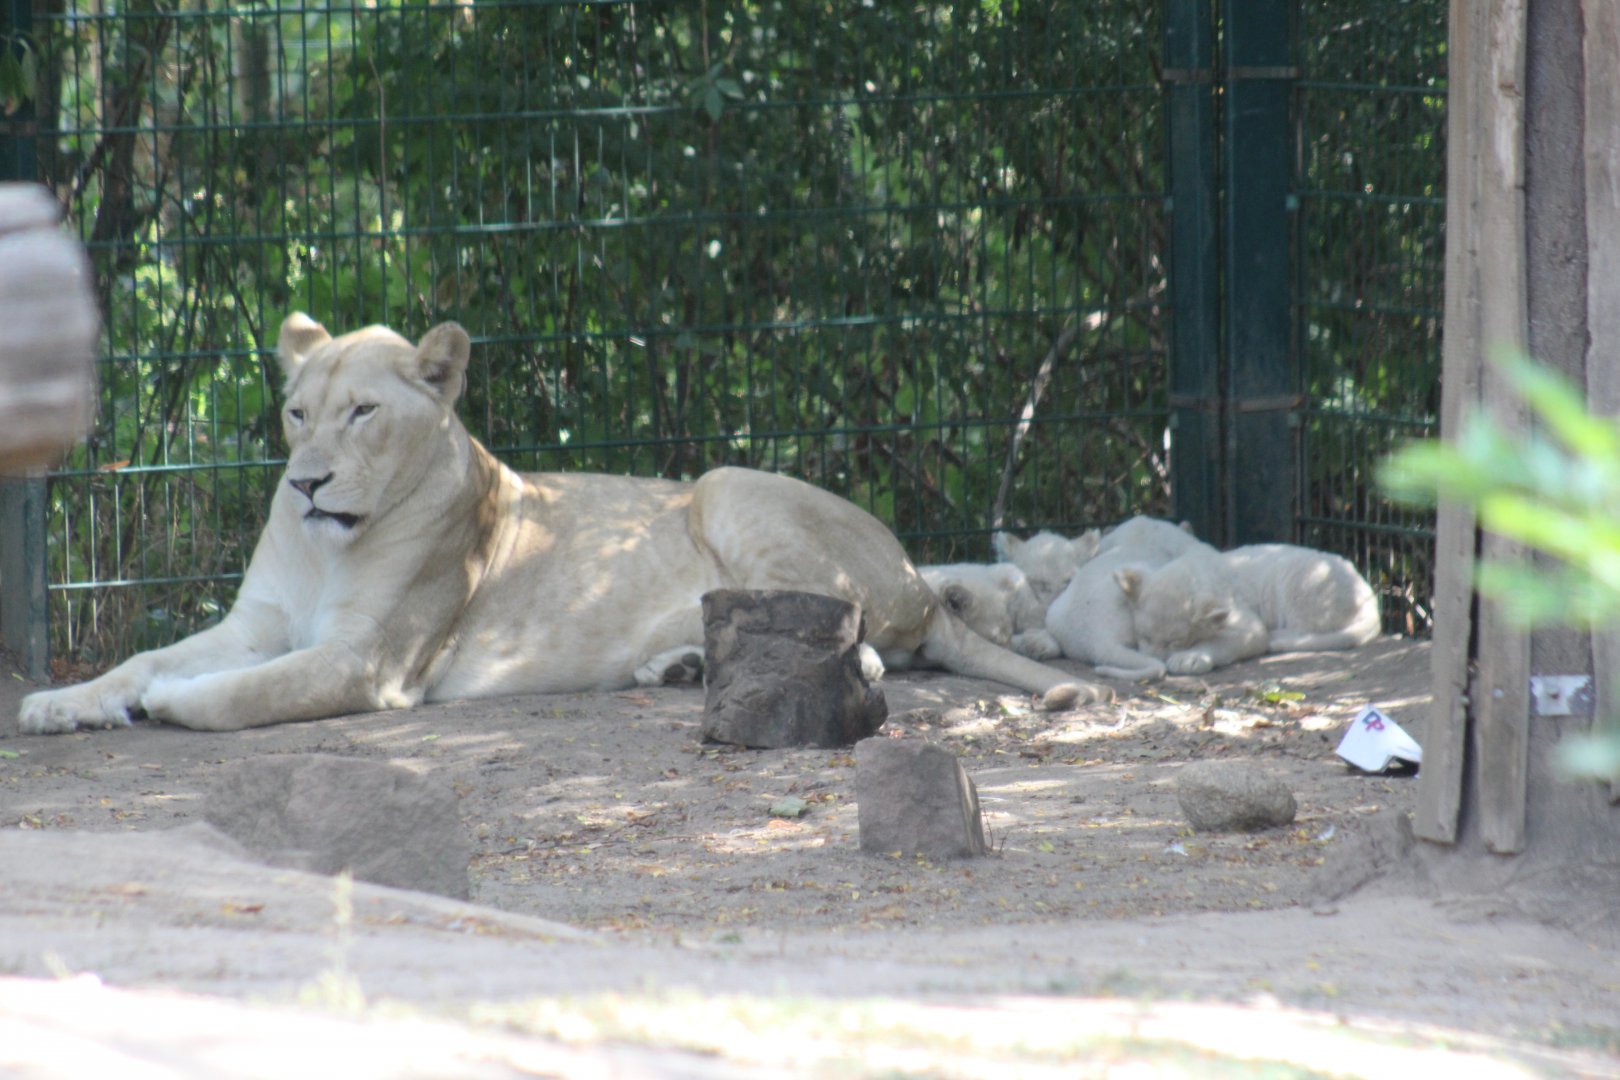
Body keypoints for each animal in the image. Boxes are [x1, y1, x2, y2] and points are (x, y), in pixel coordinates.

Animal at [19, 314, 1109, 735]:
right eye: (296, 413)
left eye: (362, 412)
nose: (307, 483)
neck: (330, 547)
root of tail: (920, 579)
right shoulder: (259, 622)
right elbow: (148, 655)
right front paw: (63, 703)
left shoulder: (369, 664)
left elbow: (244, 691)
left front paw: (166, 703)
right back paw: (685, 664)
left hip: (728, 484)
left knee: (861, 640)